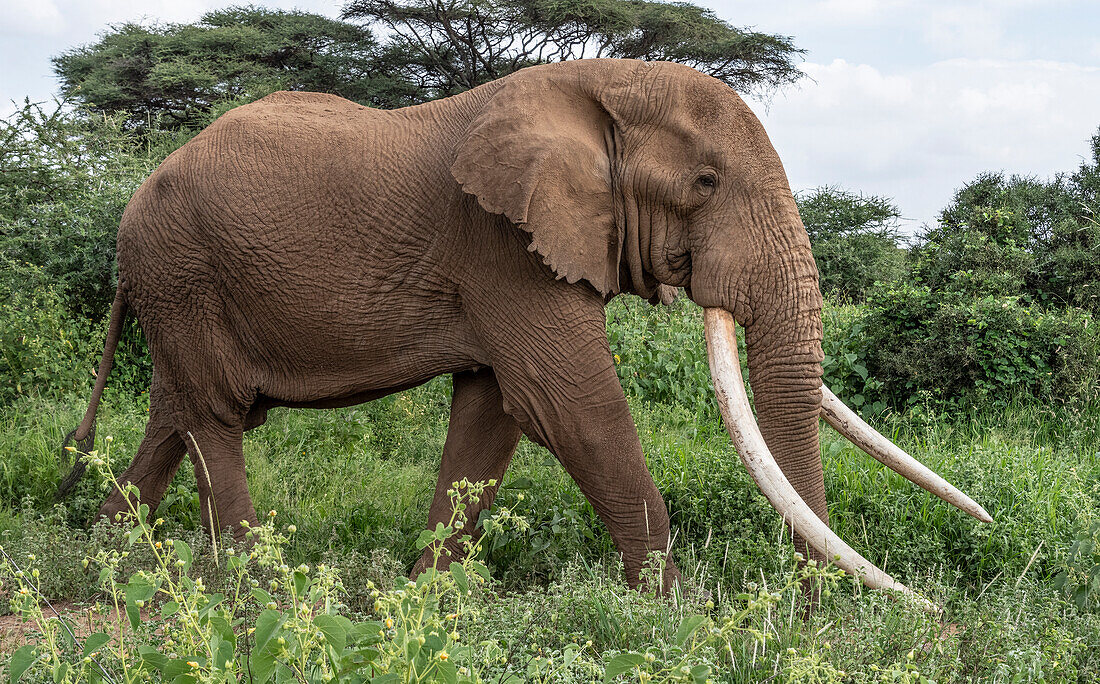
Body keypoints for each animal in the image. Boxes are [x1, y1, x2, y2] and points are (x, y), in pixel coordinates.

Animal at [62, 57, 990, 593]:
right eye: (704, 184)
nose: (807, 611)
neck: (597, 91)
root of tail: (130, 210)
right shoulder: (500, 243)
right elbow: (569, 404)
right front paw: (672, 619)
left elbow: (494, 412)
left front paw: (426, 602)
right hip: (181, 270)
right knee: (216, 419)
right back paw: (255, 590)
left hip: (178, 283)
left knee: (175, 415)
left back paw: (103, 556)